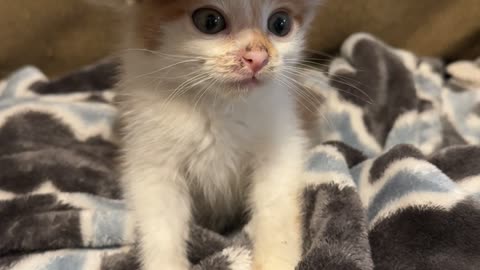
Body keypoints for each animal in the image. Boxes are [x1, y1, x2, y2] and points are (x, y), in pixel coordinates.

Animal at [112, 0, 320, 270]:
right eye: (210, 21)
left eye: (280, 24)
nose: (258, 58)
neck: (218, 105)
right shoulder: (150, 160)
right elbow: (160, 223)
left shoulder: (282, 143)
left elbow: (277, 208)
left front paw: (277, 260)